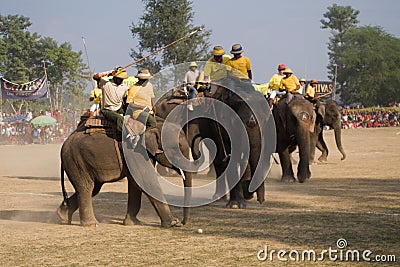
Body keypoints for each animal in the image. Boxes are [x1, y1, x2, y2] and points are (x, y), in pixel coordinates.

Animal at [57, 119, 193, 228]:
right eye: (176, 149)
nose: (182, 222)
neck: (153, 127)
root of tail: (64, 143)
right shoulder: (136, 152)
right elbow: (146, 182)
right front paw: (173, 223)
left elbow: (135, 183)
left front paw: (133, 223)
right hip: (76, 161)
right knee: (86, 188)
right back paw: (91, 224)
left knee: (93, 189)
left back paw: (63, 216)